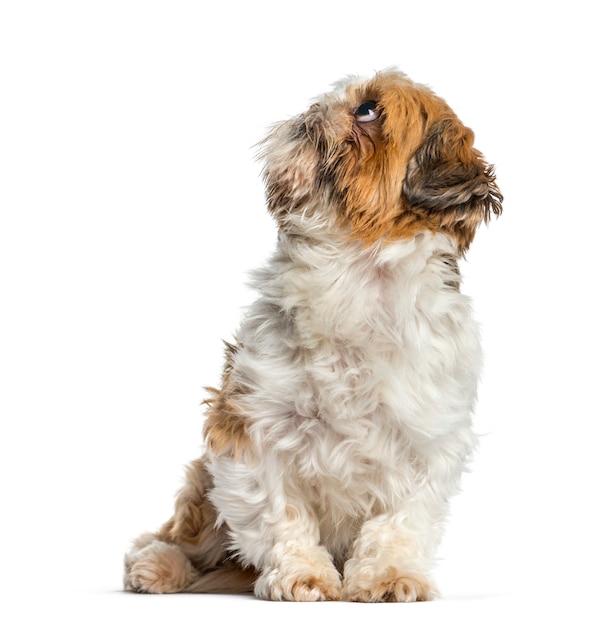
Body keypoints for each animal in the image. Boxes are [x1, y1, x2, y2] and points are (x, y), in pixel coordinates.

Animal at [123, 68, 498, 600]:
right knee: (179, 537)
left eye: (367, 110)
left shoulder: (426, 445)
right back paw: (158, 565)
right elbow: (280, 514)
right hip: (202, 491)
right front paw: (304, 574)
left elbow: (399, 522)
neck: (353, 282)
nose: (313, 109)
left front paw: (388, 576)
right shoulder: (250, 428)